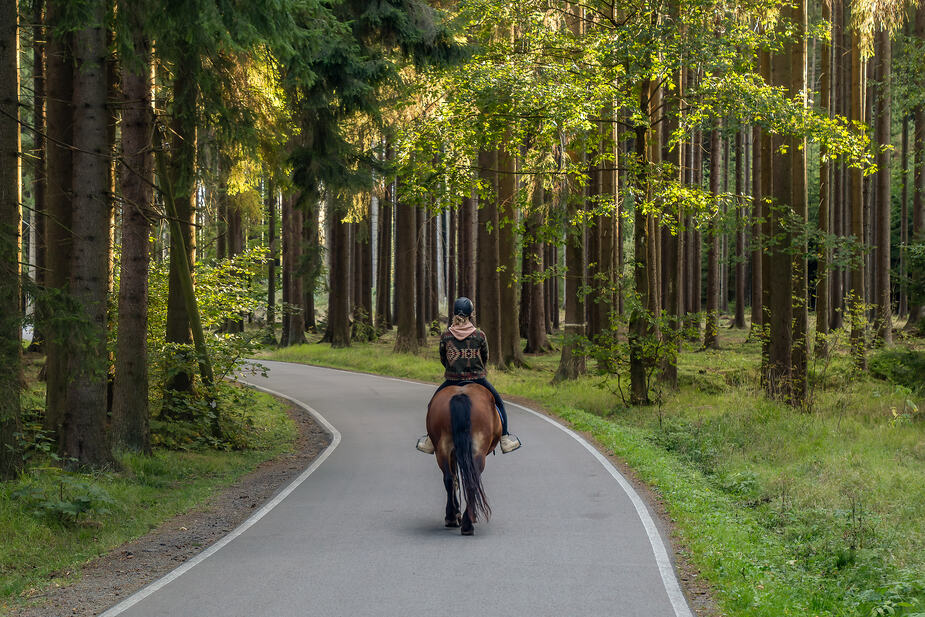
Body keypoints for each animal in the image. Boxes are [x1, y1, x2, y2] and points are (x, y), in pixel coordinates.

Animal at [424, 380, 498, 536]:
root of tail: (460, 396)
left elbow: (455, 479)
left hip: (443, 449)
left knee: (449, 479)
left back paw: (452, 518)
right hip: (477, 450)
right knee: (471, 479)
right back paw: (467, 523)